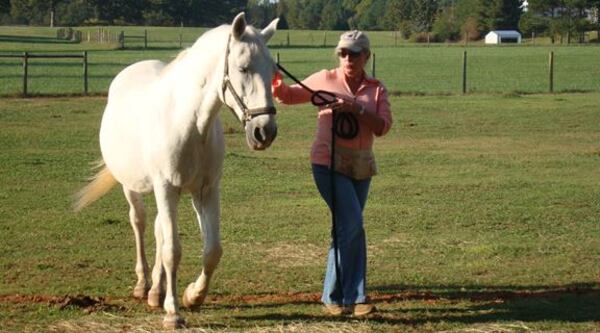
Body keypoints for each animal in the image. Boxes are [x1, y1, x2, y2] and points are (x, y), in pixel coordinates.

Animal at [74, 12, 278, 326]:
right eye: (243, 68)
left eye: (272, 71)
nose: (264, 131)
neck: (189, 122)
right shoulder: (166, 187)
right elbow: (172, 250)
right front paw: (173, 312)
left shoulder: (205, 190)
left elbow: (212, 250)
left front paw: (193, 296)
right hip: (134, 187)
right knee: (140, 222)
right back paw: (143, 285)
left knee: (159, 229)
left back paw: (155, 292)